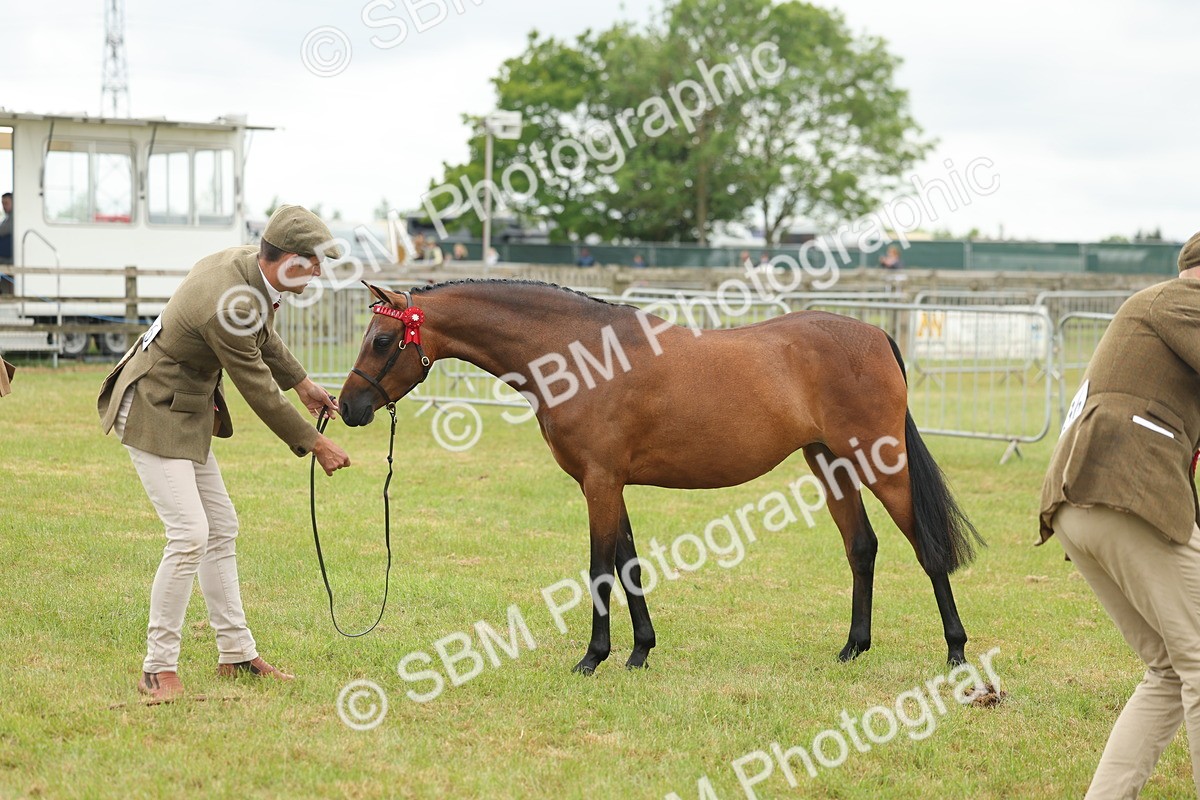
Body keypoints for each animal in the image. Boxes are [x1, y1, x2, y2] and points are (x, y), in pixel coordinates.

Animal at [338, 279, 983, 674]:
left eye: (383, 339)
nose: (348, 408)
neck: (578, 353)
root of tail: (874, 334)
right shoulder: (610, 483)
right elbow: (629, 564)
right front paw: (639, 653)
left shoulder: (599, 482)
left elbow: (600, 569)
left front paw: (592, 658)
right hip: (829, 462)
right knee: (862, 547)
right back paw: (853, 648)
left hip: (879, 461)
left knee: (926, 547)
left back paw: (955, 652)